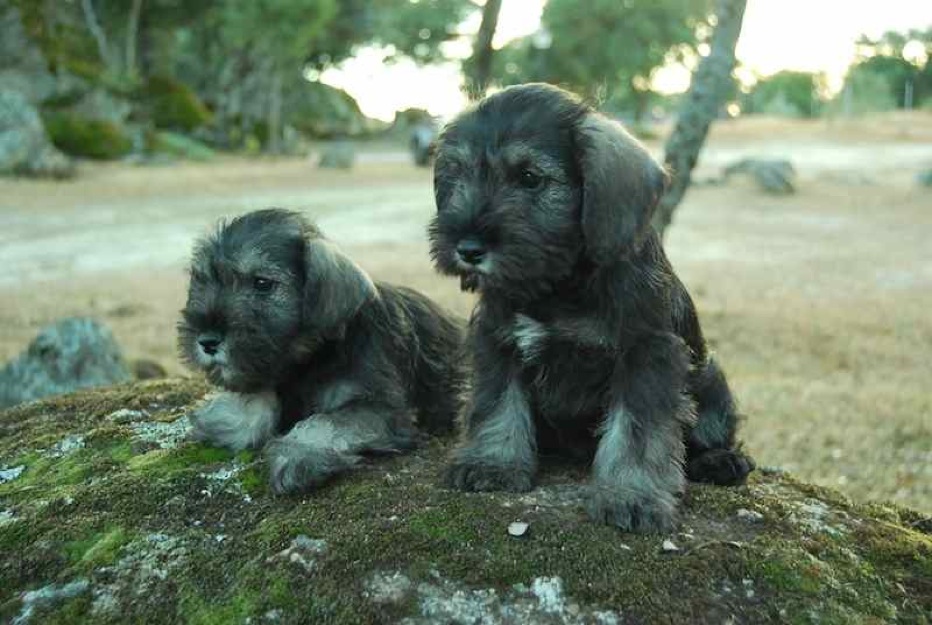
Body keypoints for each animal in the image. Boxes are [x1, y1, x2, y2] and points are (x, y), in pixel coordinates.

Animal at [177, 210, 462, 492]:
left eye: (262, 283)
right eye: (203, 280)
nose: (207, 341)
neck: (311, 358)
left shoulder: (380, 409)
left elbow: (323, 422)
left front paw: (295, 455)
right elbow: (260, 407)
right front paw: (218, 418)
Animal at [430, 83, 756, 532]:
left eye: (530, 177)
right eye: (457, 173)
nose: (467, 248)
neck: (558, 283)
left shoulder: (646, 355)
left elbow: (637, 431)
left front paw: (631, 496)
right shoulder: (497, 341)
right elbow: (496, 403)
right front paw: (491, 463)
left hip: (711, 379)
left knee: (709, 433)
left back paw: (722, 461)